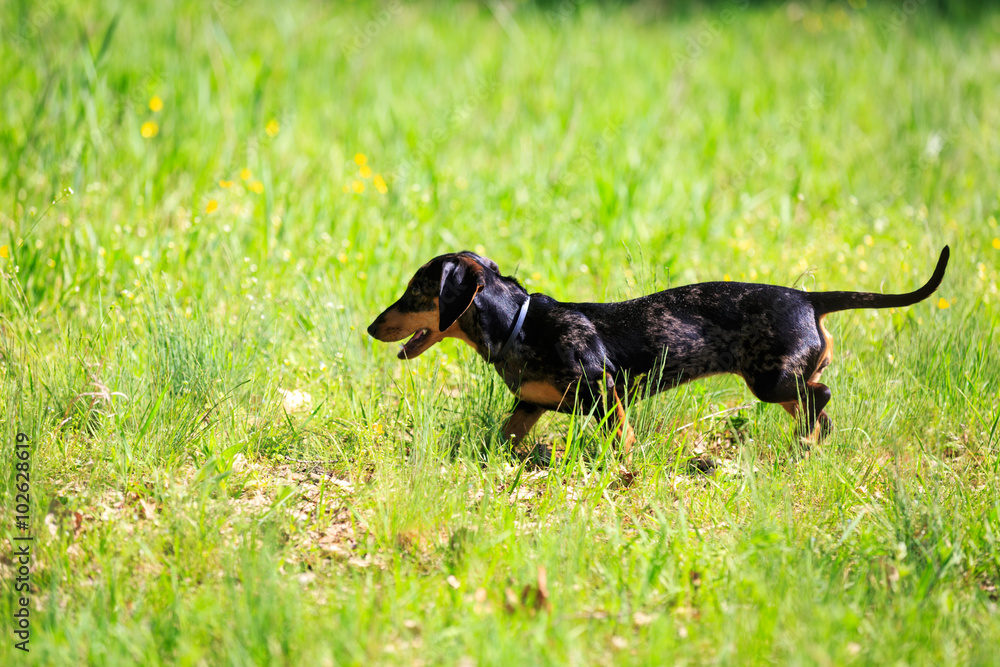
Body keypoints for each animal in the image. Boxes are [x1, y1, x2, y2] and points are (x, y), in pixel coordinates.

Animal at [366, 248, 944, 456]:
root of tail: (808, 298)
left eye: (415, 292)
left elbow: (622, 440)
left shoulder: (606, 394)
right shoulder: (529, 404)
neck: (521, 326)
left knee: (820, 395)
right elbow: (504, 435)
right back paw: (809, 444)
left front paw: (624, 471)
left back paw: (808, 441)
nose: (372, 327)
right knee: (815, 404)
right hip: (775, 382)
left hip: (771, 379)